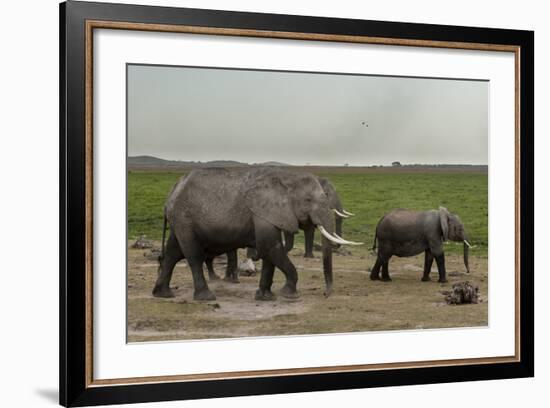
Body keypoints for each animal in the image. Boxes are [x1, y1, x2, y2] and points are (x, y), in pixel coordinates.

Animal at [153, 167, 364, 302]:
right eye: (308, 200)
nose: (326, 295)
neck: (286, 179)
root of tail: (171, 194)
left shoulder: (270, 214)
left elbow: (269, 252)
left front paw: (265, 297)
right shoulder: (263, 212)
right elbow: (270, 247)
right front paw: (289, 295)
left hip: (180, 220)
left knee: (172, 253)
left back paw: (163, 294)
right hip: (184, 219)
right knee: (193, 255)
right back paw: (206, 297)